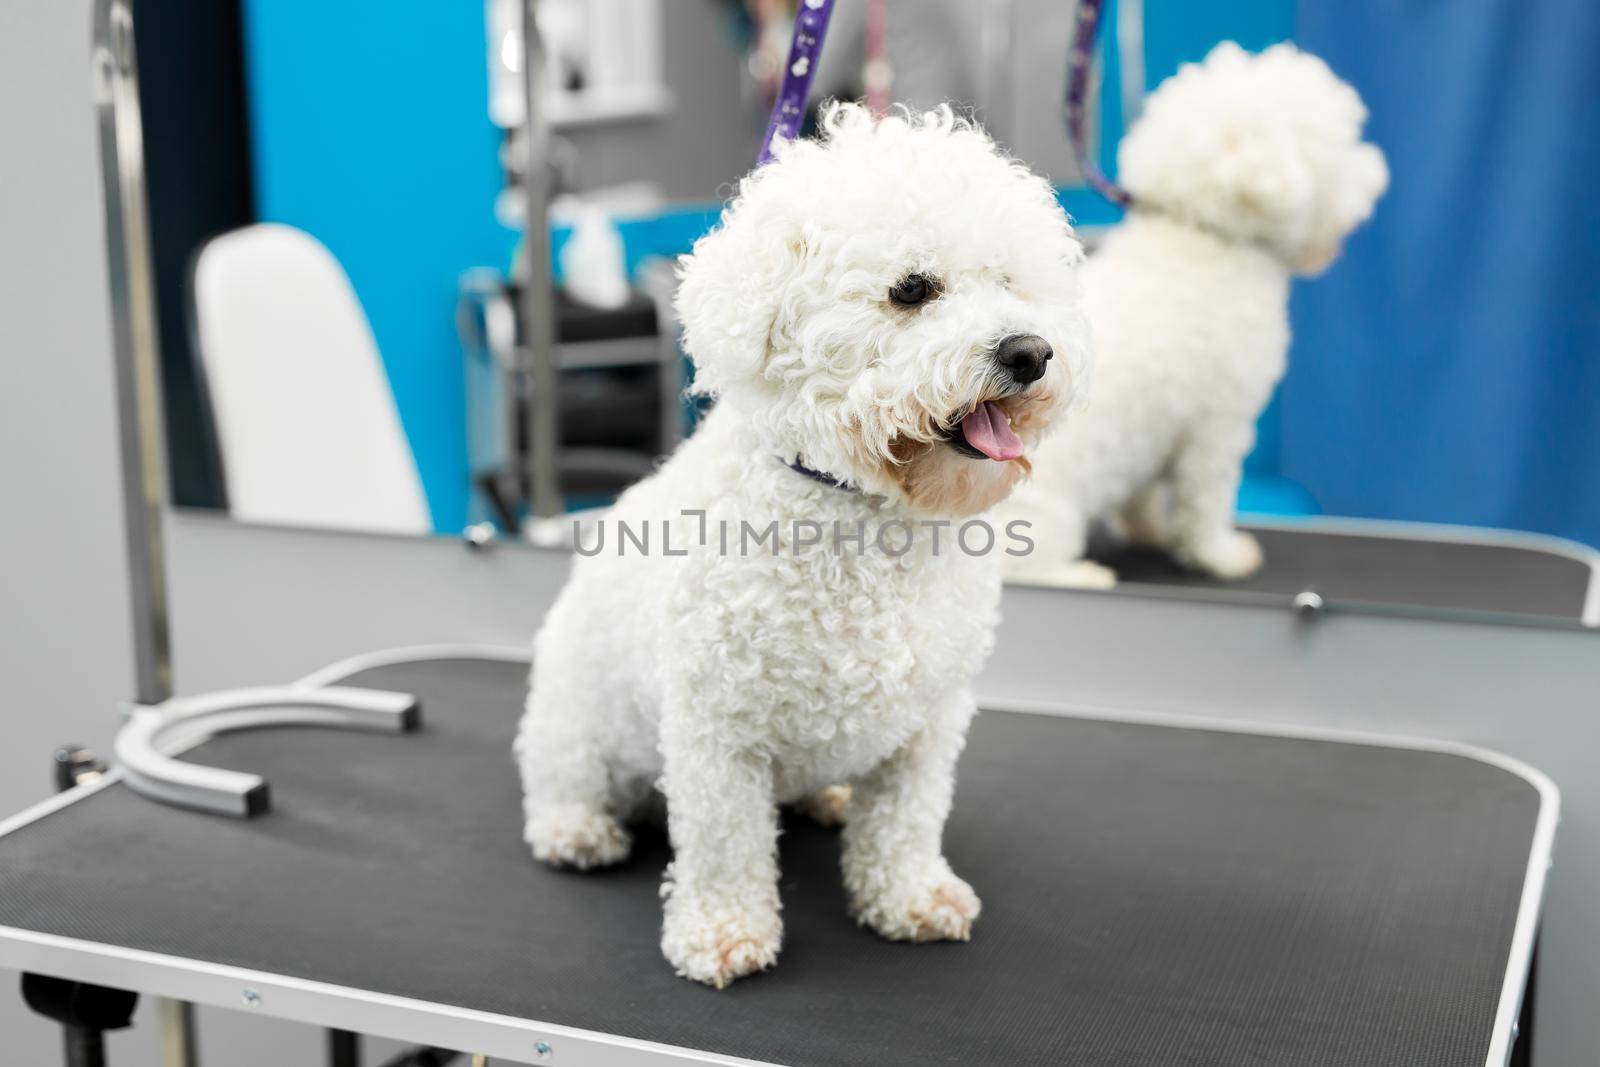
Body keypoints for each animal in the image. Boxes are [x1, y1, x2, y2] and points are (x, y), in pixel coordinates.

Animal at [518, 103, 1094, 991]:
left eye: (1009, 281)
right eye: (912, 289)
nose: (1029, 351)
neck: (861, 513)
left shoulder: (927, 725)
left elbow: (905, 821)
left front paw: (909, 896)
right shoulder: (717, 733)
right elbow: (725, 843)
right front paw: (723, 931)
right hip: (575, 720)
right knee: (561, 778)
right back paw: (575, 829)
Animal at [1004, 43, 1382, 591]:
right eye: (1344, 146)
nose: (1379, 171)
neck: (1205, 236)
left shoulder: (1152, 439)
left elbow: (1142, 497)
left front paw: (1150, 532)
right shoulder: (1216, 427)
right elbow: (1206, 501)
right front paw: (1221, 555)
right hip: (1040, 516)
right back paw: (1081, 576)